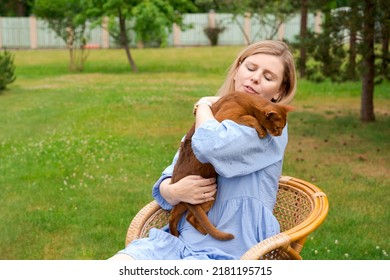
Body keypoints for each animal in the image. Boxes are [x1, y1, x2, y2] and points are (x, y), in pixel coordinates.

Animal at [168, 91, 292, 241]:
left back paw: (178, 234)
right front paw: (261, 131)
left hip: (189, 200)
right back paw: (205, 233)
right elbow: (250, 118)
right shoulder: (225, 117)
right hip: (208, 195)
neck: (245, 100)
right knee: (189, 217)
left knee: (177, 216)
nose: (279, 134)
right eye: (278, 128)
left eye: (282, 128)